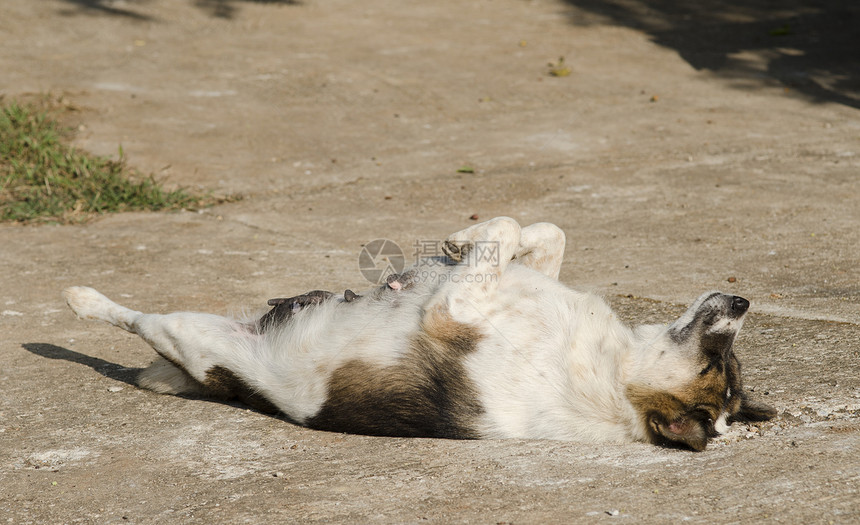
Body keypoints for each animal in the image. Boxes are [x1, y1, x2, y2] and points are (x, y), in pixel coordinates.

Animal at [62, 217, 772, 450]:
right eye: (725, 361)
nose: (743, 299)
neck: (614, 373)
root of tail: (231, 387)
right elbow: (540, 234)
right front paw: (459, 240)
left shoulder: (452, 310)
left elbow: (500, 238)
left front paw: (463, 240)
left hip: (191, 334)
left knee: (132, 320)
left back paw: (79, 300)